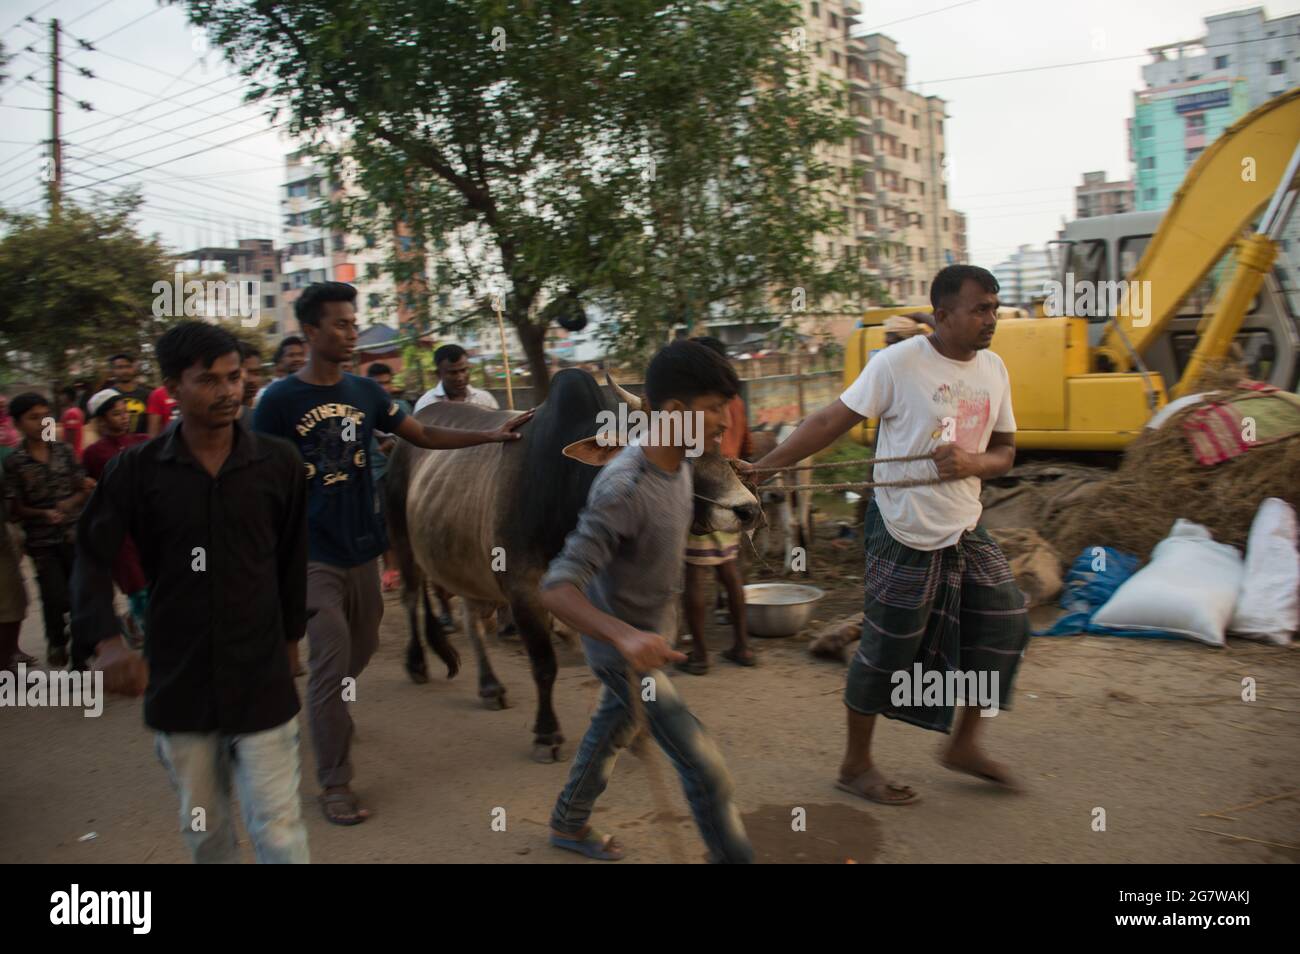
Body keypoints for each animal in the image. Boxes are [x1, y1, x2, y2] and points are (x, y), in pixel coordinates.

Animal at [384, 366, 759, 764]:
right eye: (677, 449)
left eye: (716, 440)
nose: (747, 509)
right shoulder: (524, 589)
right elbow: (545, 665)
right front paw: (547, 734)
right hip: (403, 542)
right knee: (412, 599)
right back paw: (417, 663)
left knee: (473, 622)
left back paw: (490, 687)